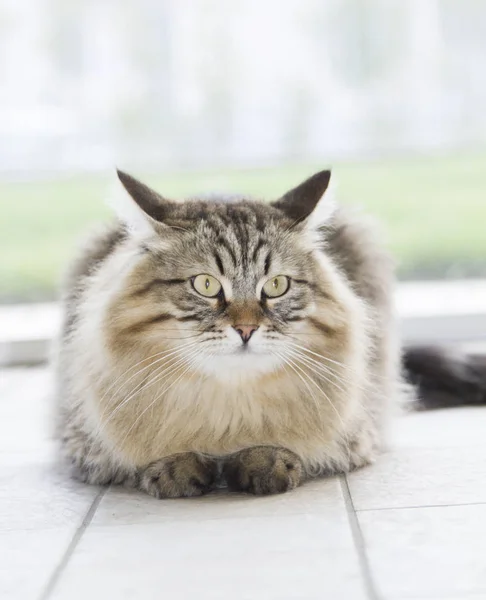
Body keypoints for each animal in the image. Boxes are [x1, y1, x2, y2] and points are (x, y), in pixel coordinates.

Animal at [55, 168, 406, 496]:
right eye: (205, 284)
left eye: (276, 285)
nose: (246, 329)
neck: (229, 406)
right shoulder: (82, 444)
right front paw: (176, 467)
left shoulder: (358, 434)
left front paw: (264, 461)